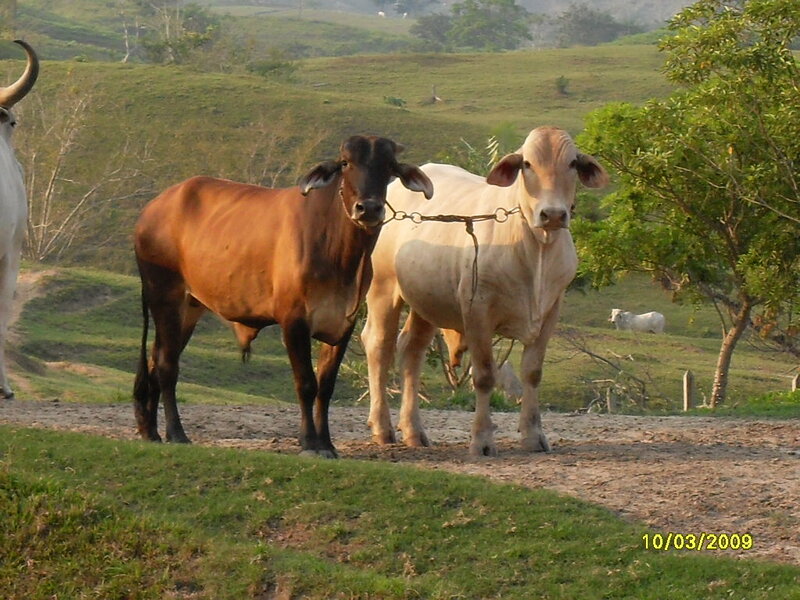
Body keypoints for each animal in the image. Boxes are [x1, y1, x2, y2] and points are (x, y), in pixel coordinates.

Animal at [133, 135, 433, 457]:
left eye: (389, 166)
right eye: (345, 163)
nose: (369, 209)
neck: (340, 253)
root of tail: (153, 208)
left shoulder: (342, 324)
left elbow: (325, 387)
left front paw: (327, 443)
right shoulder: (293, 321)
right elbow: (306, 384)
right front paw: (309, 442)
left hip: (188, 307)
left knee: (156, 359)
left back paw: (150, 431)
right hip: (165, 295)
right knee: (167, 365)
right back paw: (176, 433)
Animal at [362, 126, 608, 456]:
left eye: (572, 163)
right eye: (527, 164)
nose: (553, 215)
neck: (537, 250)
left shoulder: (551, 310)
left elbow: (533, 372)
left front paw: (533, 436)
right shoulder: (477, 309)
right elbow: (484, 375)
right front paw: (482, 439)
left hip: (426, 301)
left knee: (411, 349)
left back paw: (414, 431)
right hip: (383, 288)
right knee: (379, 346)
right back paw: (382, 427)